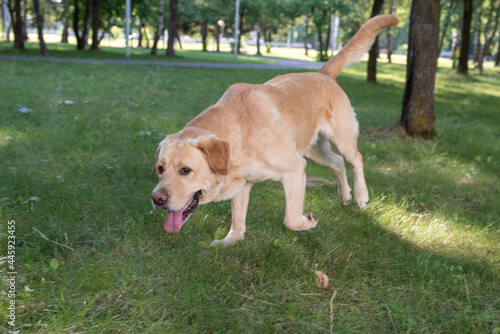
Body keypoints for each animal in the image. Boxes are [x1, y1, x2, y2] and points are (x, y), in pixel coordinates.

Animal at [150, 15, 400, 245]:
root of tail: (323, 74)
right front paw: (231, 240)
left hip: (341, 139)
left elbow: (291, 220)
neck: (240, 135)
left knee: (356, 159)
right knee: (338, 162)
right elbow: (237, 219)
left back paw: (360, 195)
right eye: (161, 169)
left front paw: (308, 222)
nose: (157, 198)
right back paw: (345, 195)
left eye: (185, 170)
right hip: (315, 151)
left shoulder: (295, 170)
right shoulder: (244, 184)